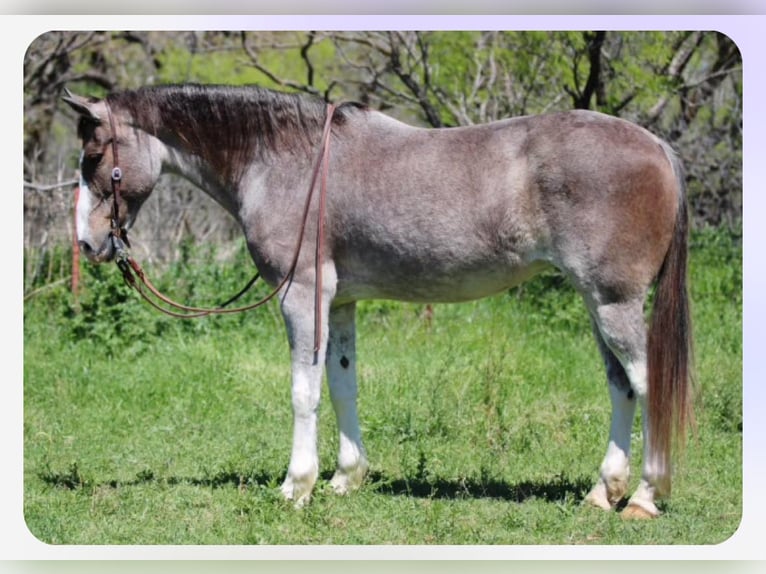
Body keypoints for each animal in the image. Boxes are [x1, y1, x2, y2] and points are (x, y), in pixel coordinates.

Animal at [63, 83, 692, 520]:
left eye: (93, 158)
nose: (88, 244)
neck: (287, 163)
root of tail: (658, 146)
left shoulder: (302, 296)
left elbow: (303, 391)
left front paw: (296, 486)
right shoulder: (339, 303)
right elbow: (342, 385)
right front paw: (346, 477)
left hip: (613, 303)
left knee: (647, 384)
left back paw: (644, 497)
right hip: (596, 303)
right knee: (620, 385)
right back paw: (602, 491)